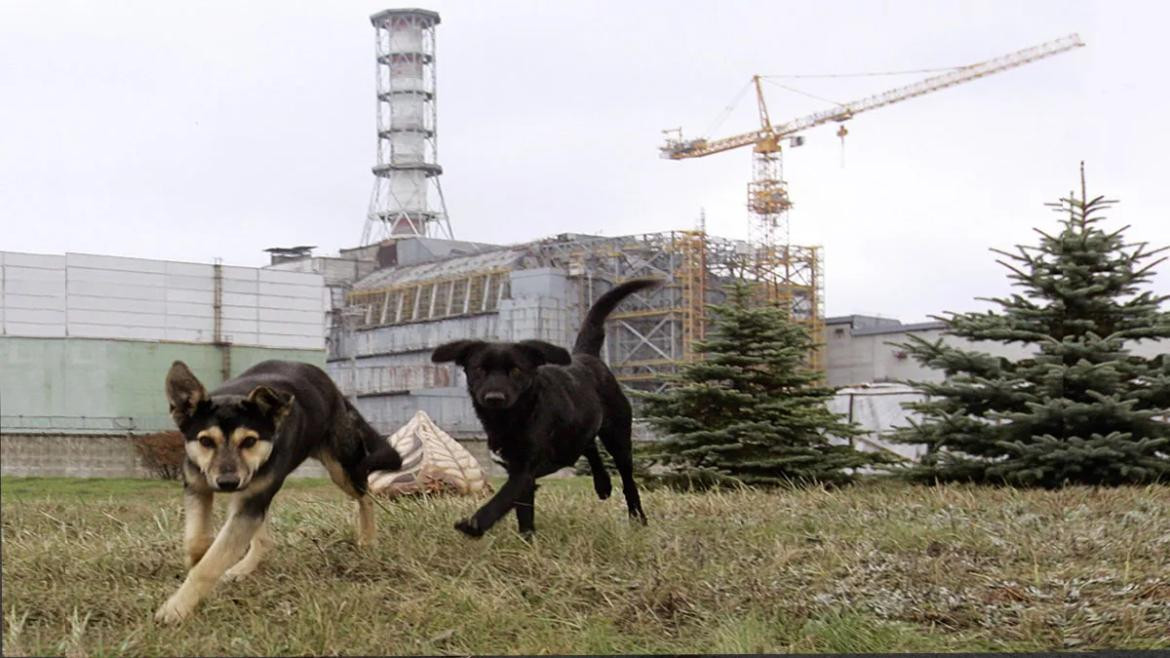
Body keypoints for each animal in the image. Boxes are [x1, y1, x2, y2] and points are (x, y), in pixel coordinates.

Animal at [155, 358, 402, 618]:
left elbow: (211, 563)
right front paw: (196, 561)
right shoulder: (198, 486)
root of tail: (335, 391)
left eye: (249, 441)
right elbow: (197, 540)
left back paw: (368, 538)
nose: (228, 483)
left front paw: (177, 607)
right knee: (264, 540)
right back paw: (243, 567)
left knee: (366, 494)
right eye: (205, 441)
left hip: (341, 468)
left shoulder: (250, 500)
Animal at [435, 273, 664, 536]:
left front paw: (475, 524)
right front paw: (527, 538)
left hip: (618, 436)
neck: (512, 418)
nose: (494, 397)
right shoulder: (519, 472)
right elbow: (523, 511)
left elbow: (502, 499)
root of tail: (587, 356)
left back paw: (637, 518)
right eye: (480, 369)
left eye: (516, 370)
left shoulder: (524, 471)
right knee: (588, 446)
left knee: (627, 479)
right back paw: (603, 484)